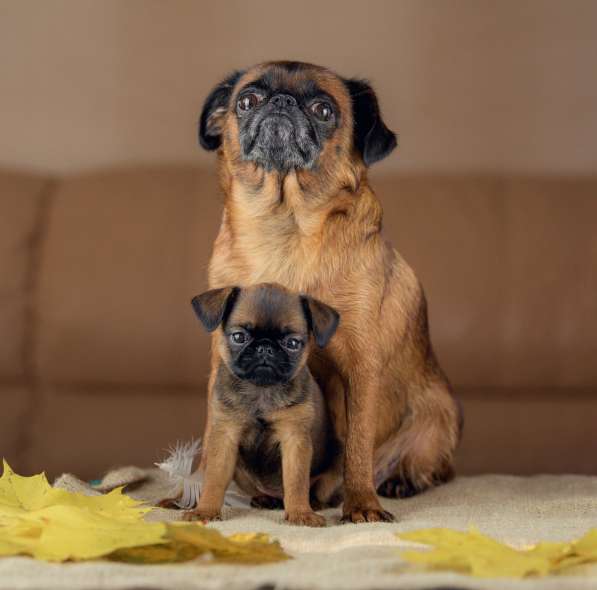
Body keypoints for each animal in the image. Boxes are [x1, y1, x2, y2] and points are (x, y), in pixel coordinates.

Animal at [190, 282, 340, 528]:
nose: (265, 348)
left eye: (292, 343)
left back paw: (313, 503)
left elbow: (296, 481)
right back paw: (264, 499)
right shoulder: (225, 437)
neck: (261, 390)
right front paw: (205, 510)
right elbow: (214, 478)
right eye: (239, 337)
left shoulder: (294, 440)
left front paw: (300, 513)